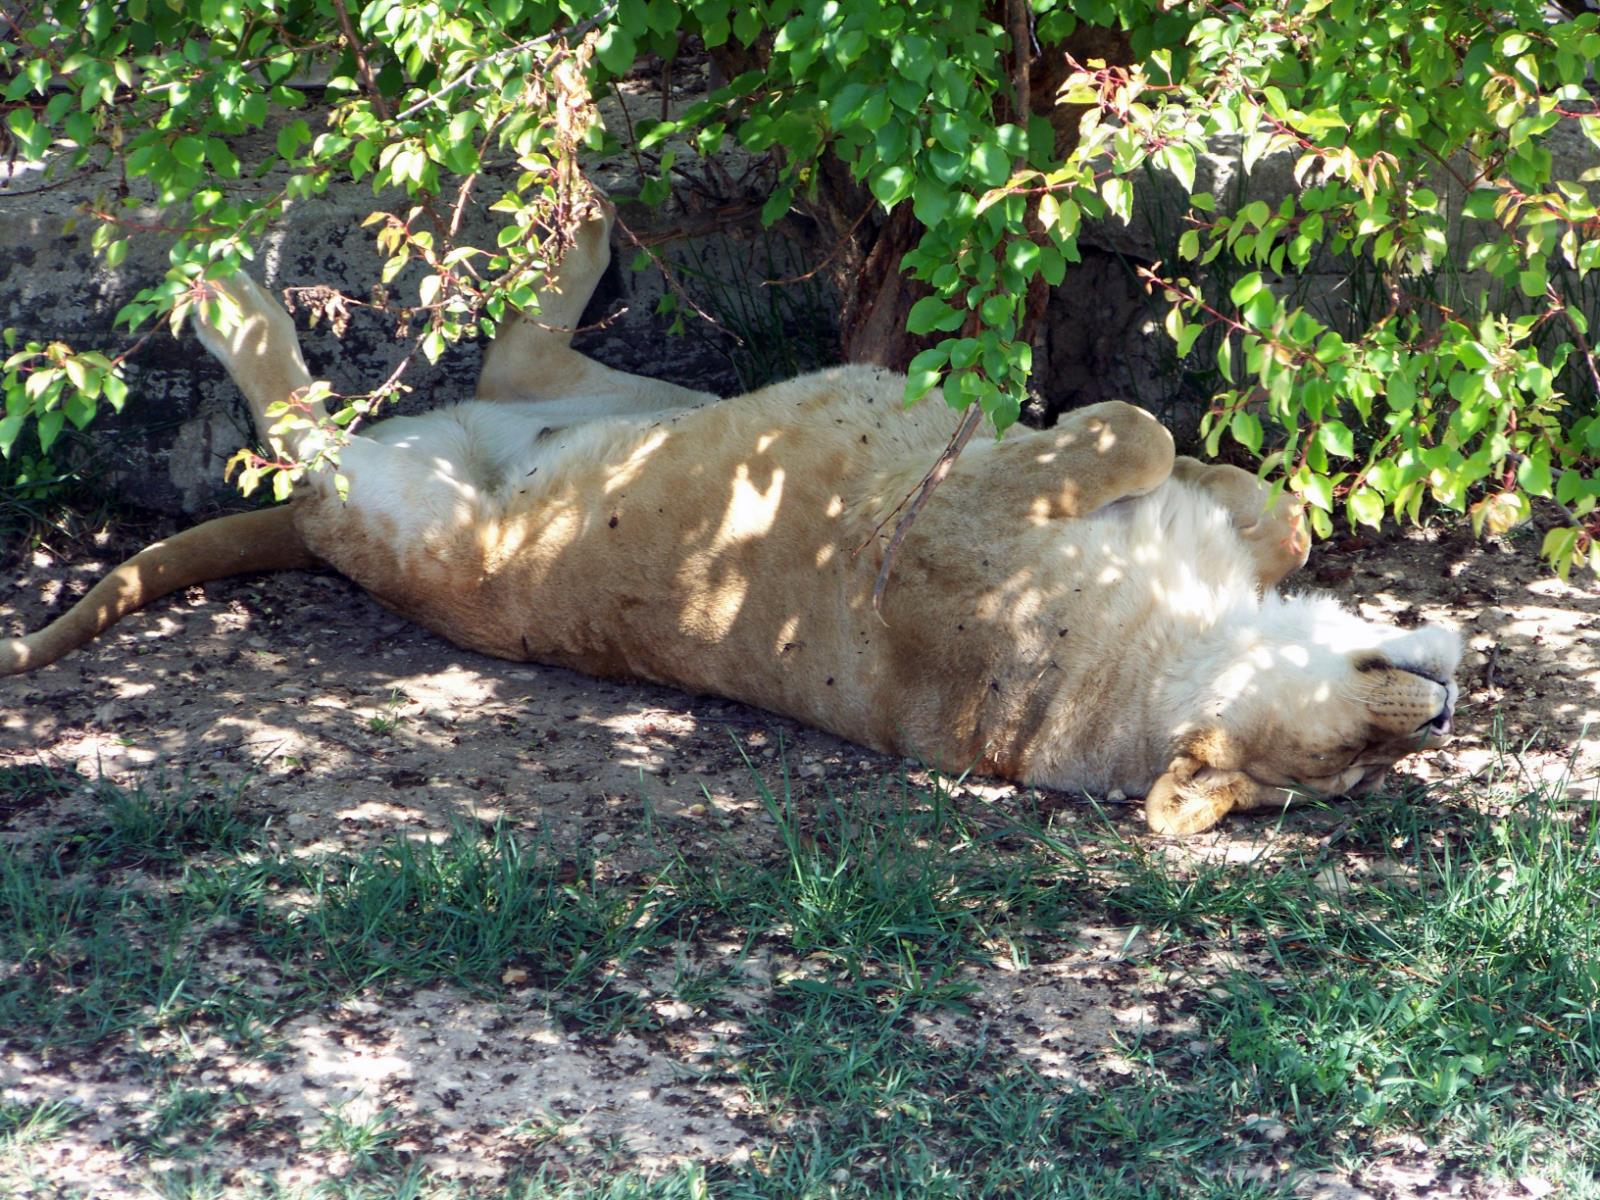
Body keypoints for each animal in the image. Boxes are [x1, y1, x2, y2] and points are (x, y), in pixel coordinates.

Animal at [0, 207, 1459, 835]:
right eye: (1361, 743)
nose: (1440, 714)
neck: (1181, 654)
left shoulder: (947, 527)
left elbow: (1145, 442)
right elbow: (1211, 477)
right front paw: (1228, 484)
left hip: (423, 512)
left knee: (312, 442)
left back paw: (227, 294)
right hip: (649, 399)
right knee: (491, 365)